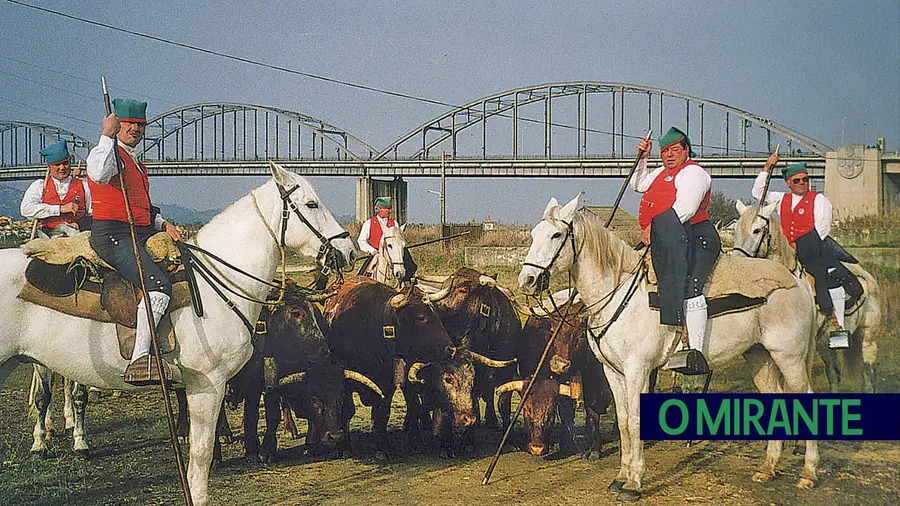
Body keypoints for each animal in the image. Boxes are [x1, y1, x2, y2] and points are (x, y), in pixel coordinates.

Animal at [516, 196, 820, 500]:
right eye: (534, 234)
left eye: (556, 235)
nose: (527, 281)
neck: (620, 293)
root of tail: (796, 281)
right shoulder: (613, 373)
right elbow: (624, 421)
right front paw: (620, 476)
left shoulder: (638, 371)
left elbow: (636, 421)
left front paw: (634, 482)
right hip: (760, 357)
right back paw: (767, 469)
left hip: (789, 357)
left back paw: (808, 473)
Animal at [736, 200, 884, 394]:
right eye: (736, 229)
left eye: (757, 230)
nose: (736, 261)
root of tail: (866, 277)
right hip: (826, 344)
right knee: (834, 374)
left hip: (867, 337)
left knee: (868, 373)